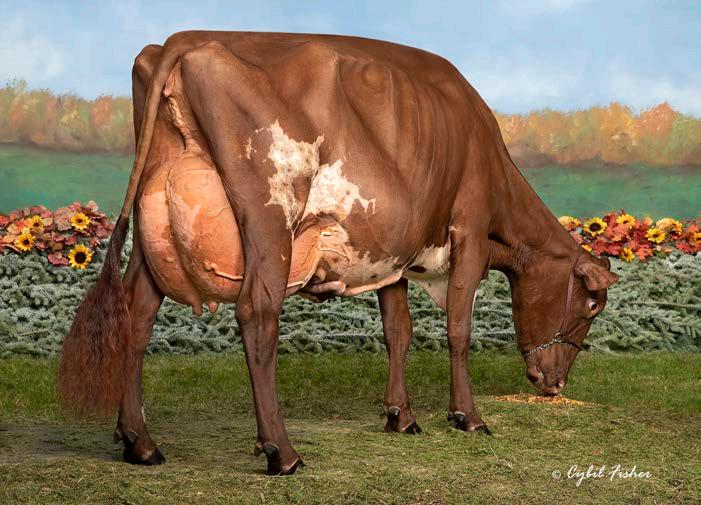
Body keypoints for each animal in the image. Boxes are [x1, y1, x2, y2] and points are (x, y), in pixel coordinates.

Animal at [59, 31, 619, 475]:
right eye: (592, 303)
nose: (554, 383)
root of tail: (184, 40)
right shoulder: (470, 233)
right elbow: (459, 331)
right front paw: (469, 417)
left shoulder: (393, 252)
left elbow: (399, 331)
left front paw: (401, 416)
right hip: (270, 221)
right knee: (257, 314)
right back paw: (282, 453)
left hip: (154, 231)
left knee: (136, 315)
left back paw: (140, 442)